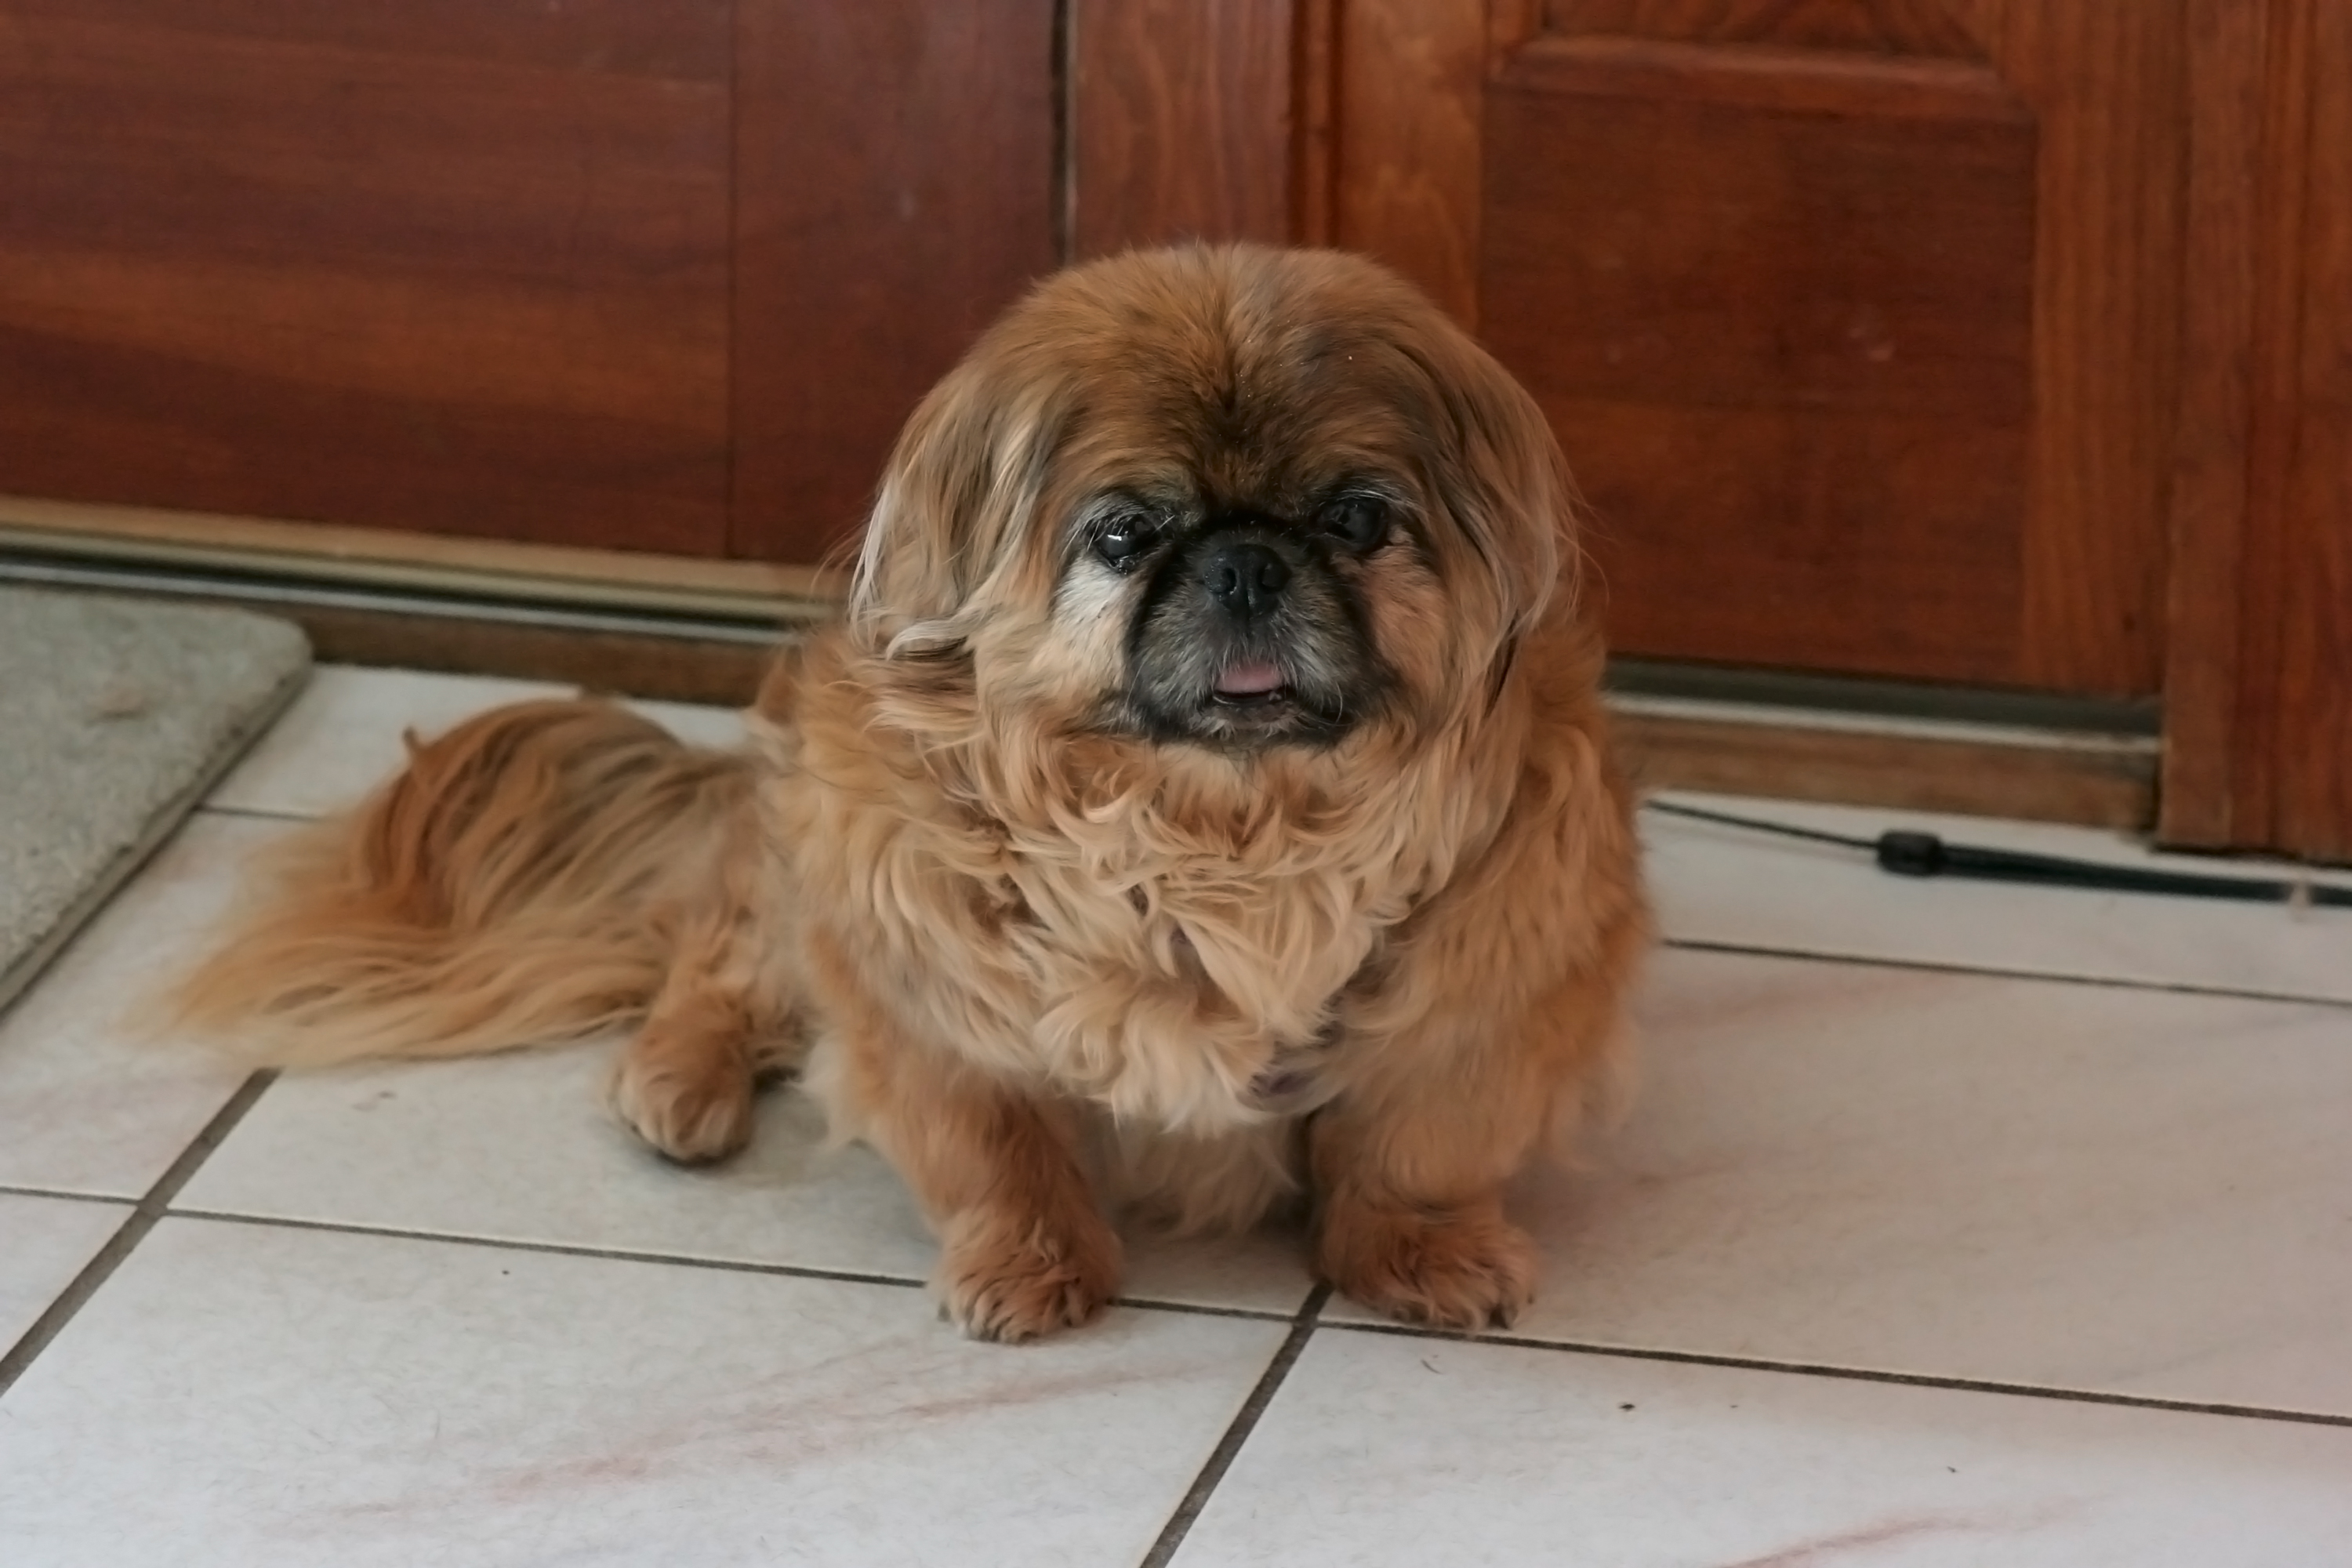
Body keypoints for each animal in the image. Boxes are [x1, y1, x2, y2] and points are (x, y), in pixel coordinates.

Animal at [174, 241, 1646, 1335]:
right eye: (1128, 534)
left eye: (1352, 519)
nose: (1244, 562)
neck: (1217, 831)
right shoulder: (931, 998)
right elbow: (995, 1151)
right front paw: (1029, 1269)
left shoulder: (1478, 1002)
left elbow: (1416, 1145)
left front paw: (1422, 1255)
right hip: (793, 866)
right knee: (720, 955)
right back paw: (678, 1079)